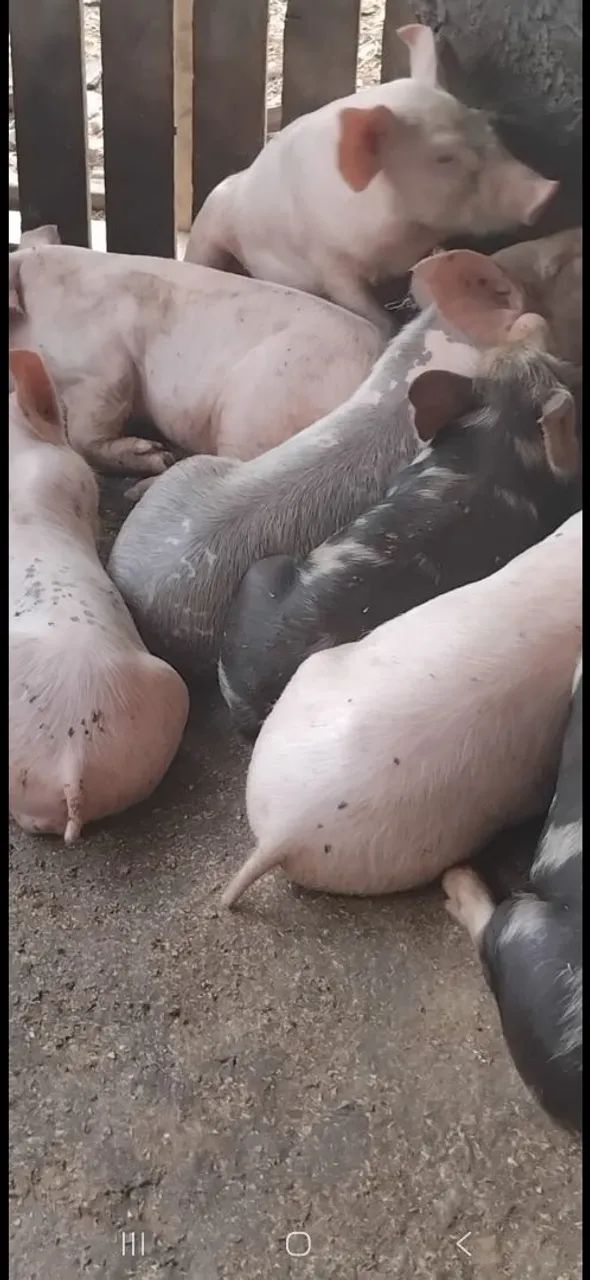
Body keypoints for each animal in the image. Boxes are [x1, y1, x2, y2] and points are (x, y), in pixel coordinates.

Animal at [184, 23, 558, 330]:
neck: (401, 238)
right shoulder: (329, 261)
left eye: (485, 124)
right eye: (444, 157)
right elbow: (366, 310)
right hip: (209, 227)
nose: (548, 191)